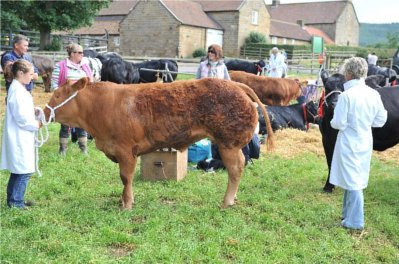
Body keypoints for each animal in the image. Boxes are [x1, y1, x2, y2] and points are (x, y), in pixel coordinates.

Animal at [44, 77, 276, 209]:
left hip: (228, 143)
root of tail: (234, 84)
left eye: (58, 94)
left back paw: (227, 201)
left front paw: (126, 204)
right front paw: (123, 200)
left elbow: (125, 178)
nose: (44, 111)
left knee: (236, 168)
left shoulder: (125, 151)